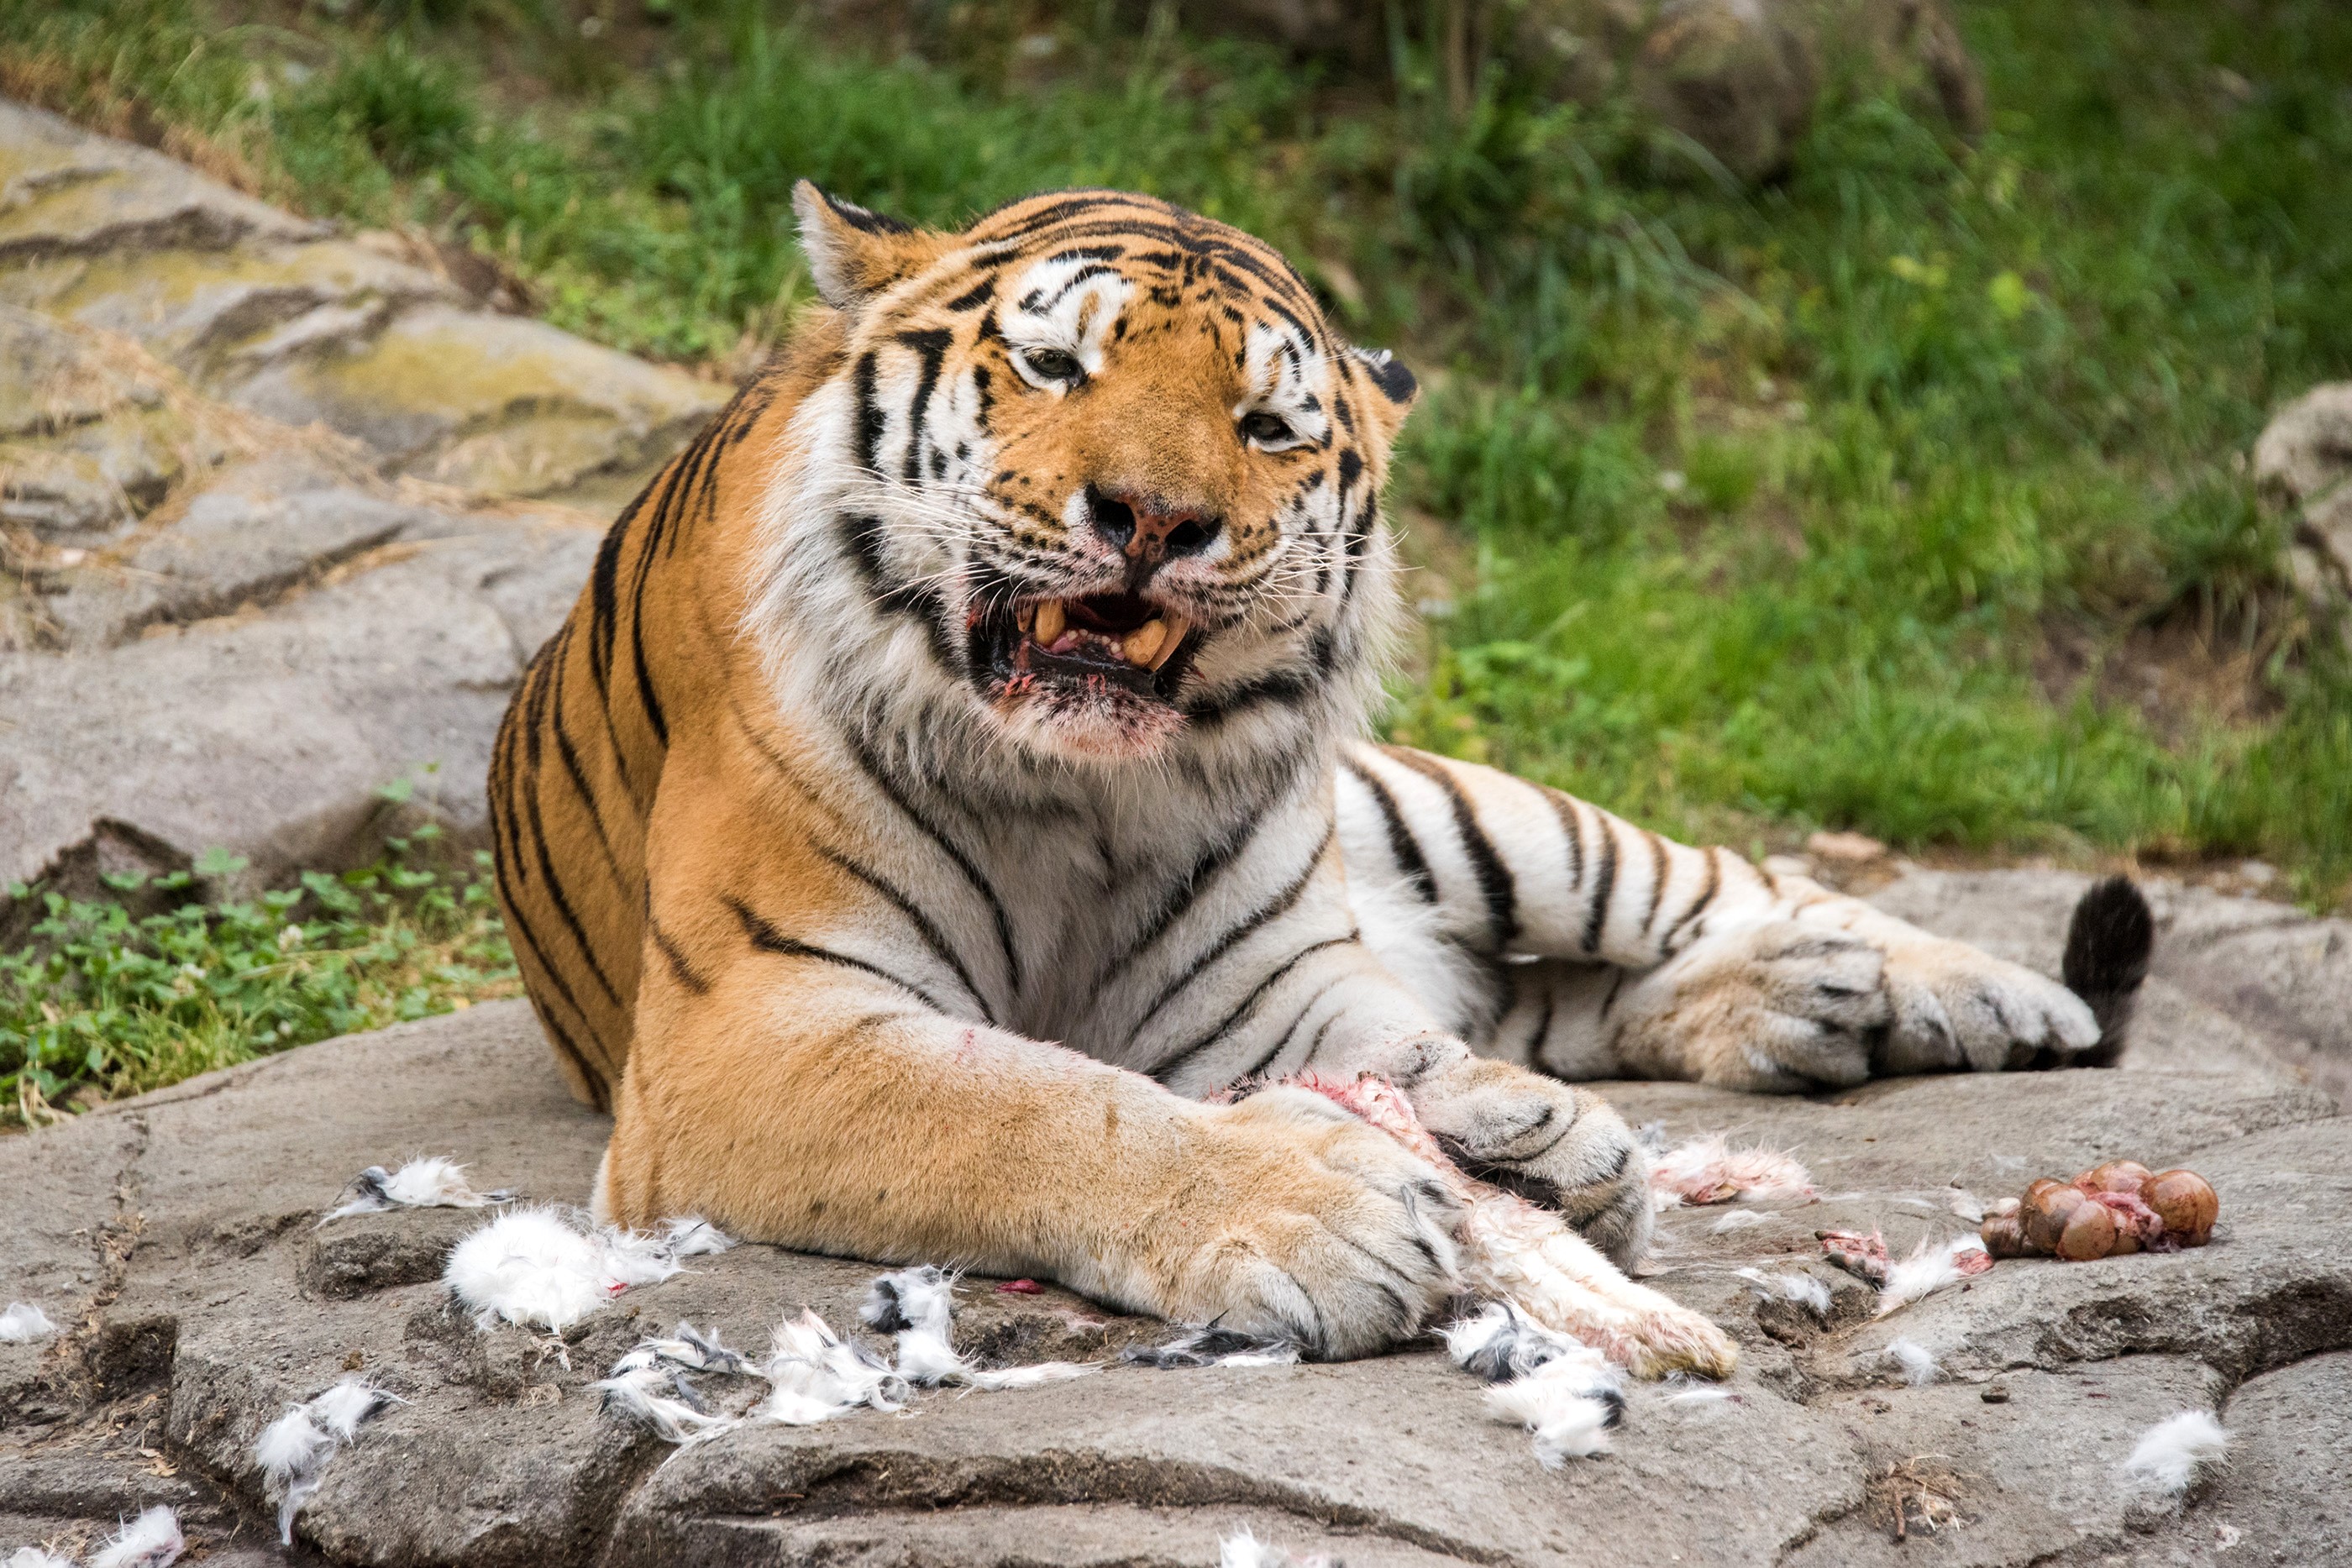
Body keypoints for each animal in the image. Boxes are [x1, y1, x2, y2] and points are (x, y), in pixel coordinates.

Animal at [487, 183, 2149, 1369]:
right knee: (1567, 995)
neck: (1072, 801)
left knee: (1728, 881)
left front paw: (1527, 1145)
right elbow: (1036, 1103)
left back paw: (1973, 991)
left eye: (1266, 424)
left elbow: (1394, 1046)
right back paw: (1799, 1010)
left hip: (1500, 819)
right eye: (1053, 364)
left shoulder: (1267, 984)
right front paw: (1329, 1207)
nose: (1154, 517)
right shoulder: (749, 1026)